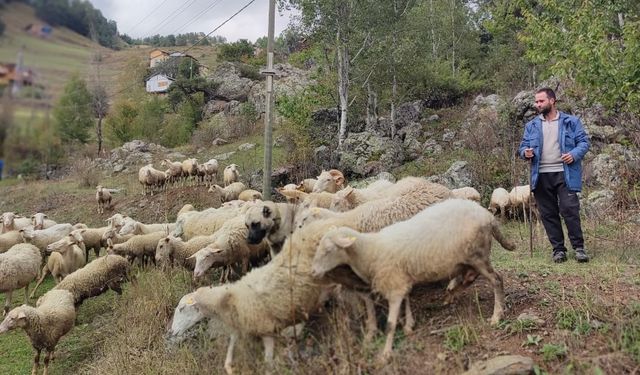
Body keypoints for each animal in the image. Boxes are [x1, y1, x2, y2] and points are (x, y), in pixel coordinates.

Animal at [310, 200, 516, 362]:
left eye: (328, 250)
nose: (313, 272)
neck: (370, 251)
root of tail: (487, 216)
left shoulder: (393, 286)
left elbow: (391, 324)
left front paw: (386, 353)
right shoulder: (401, 280)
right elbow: (407, 298)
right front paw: (409, 325)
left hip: (478, 255)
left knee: (496, 280)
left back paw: (496, 315)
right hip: (468, 258)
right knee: (470, 277)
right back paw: (451, 293)